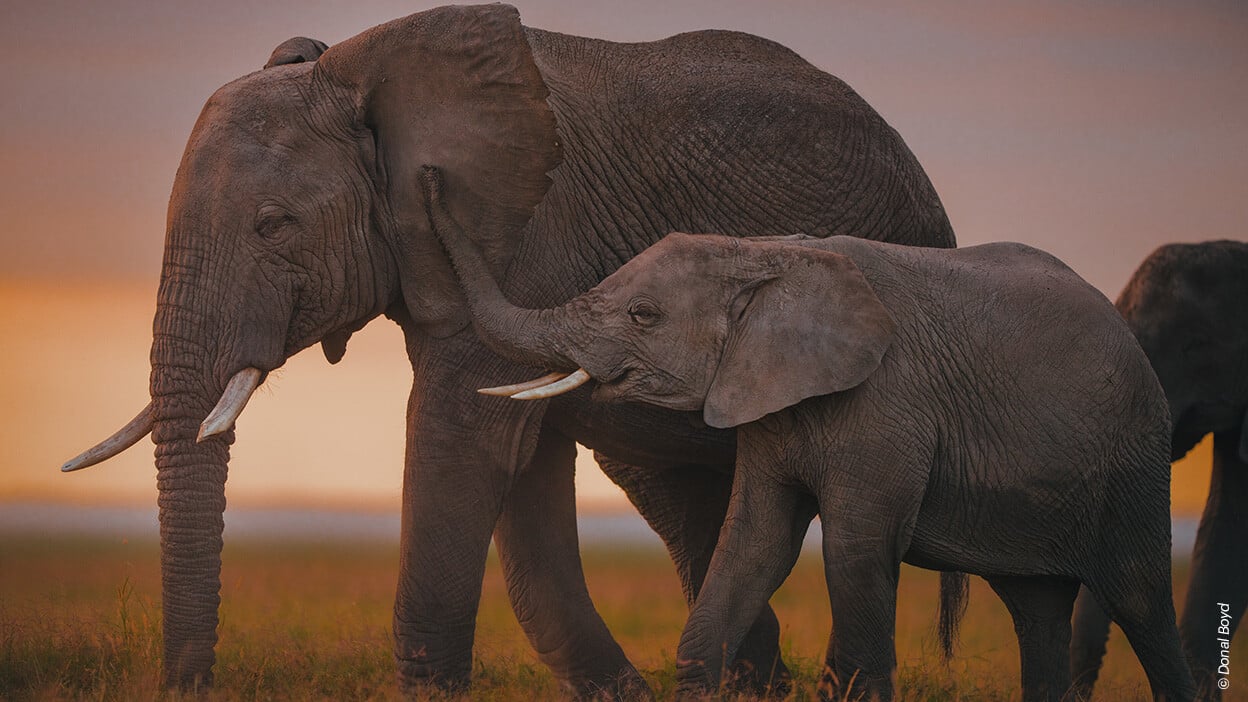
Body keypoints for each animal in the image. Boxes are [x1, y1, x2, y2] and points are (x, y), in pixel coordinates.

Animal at [60, 4, 953, 694]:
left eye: (273, 225)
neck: (366, 69)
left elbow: (464, 438)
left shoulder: (526, 237)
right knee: (675, 489)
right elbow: (524, 463)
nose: (190, 685)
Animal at [419, 164, 1188, 699]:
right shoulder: (767, 400)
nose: (429, 177)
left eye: (643, 314)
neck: (763, 255)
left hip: (1136, 458)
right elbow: (753, 542)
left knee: (1141, 597)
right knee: (1036, 610)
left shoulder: (887, 403)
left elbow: (853, 552)